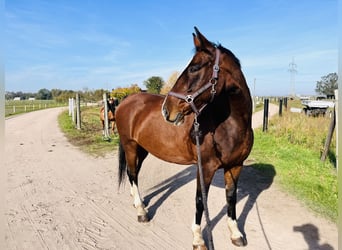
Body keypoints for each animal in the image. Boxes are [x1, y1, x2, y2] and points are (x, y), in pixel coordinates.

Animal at [116, 26, 252, 249]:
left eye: (194, 68)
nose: (166, 110)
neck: (230, 127)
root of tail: (126, 100)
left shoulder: (235, 166)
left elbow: (231, 198)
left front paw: (236, 233)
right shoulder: (204, 168)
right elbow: (200, 201)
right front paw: (198, 238)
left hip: (142, 148)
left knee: (132, 172)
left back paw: (138, 201)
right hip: (130, 145)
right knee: (133, 173)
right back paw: (142, 211)